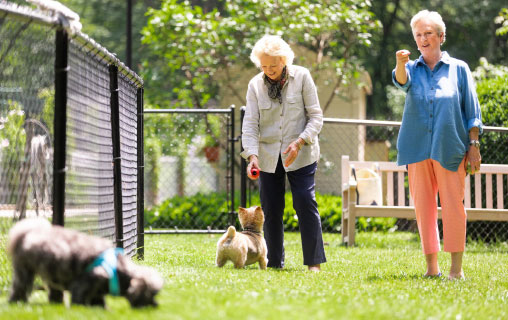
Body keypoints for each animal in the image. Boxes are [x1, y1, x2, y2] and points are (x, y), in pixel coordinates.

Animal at [7, 219, 163, 306]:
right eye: (151, 295)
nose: (156, 305)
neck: (119, 271)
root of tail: (27, 233)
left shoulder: (98, 290)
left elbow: (99, 302)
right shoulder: (84, 284)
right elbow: (80, 300)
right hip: (25, 271)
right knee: (20, 287)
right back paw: (16, 302)